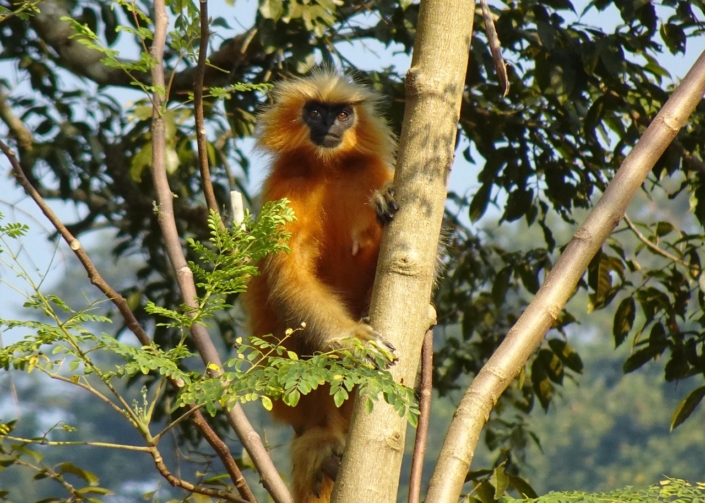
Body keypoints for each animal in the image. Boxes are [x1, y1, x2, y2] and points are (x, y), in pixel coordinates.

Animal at [243, 69, 398, 503]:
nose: (329, 124)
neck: (330, 169)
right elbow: (288, 272)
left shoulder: (374, 171)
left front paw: (384, 202)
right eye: (315, 111)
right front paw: (353, 340)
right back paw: (323, 436)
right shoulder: (286, 185)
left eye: (343, 114)